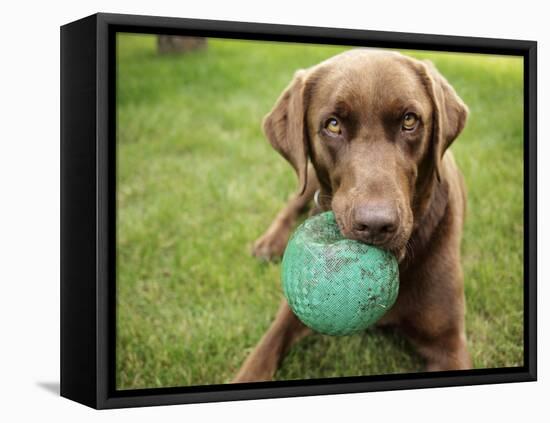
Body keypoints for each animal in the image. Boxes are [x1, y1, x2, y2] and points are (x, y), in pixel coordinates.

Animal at [235, 50, 472, 384]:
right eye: (333, 125)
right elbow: (261, 355)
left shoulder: (449, 344)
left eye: (409, 120)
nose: (375, 225)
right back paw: (269, 243)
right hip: (307, 181)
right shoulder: (294, 309)